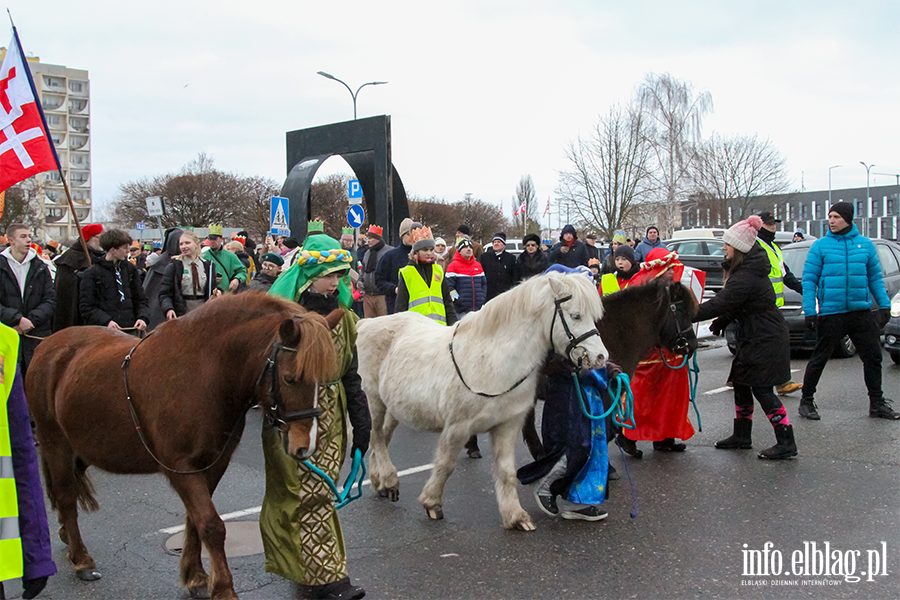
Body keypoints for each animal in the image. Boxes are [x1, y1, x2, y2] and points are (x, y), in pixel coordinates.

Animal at [26, 292, 342, 600]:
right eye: (290, 378)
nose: (305, 446)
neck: (202, 374)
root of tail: (47, 346)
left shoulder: (214, 464)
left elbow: (195, 521)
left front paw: (196, 576)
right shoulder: (181, 469)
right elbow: (211, 525)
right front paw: (223, 589)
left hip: (82, 447)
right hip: (55, 444)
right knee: (66, 497)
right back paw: (81, 559)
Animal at [356, 270, 608, 528]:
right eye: (575, 315)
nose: (600, 357)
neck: (492, 359)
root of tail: (366, 323)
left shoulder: (507, 426)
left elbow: (507, 472)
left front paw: (515, 517)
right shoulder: (457, 427)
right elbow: (445, 464)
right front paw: (432, 503)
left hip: (394, 408)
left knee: (382, 438)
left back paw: (379, 482)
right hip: (374, 401)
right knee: (377, 437)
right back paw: (389, 481)